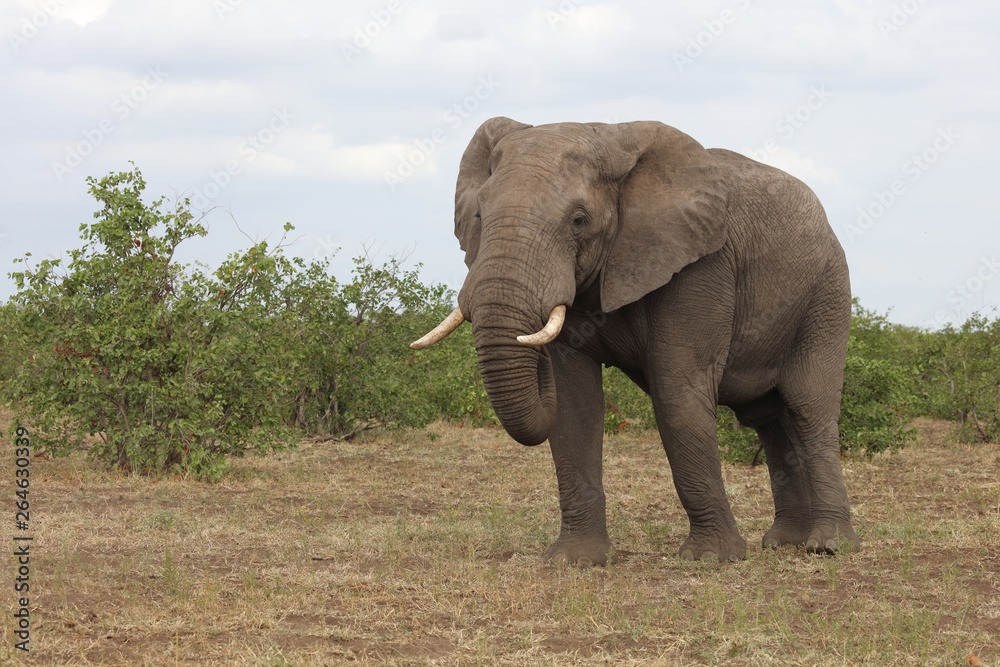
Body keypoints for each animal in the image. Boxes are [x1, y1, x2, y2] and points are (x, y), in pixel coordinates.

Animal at [411, 117, 859, 565]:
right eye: (479, 214)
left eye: (579, 220)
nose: (530, 341)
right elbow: (573, 404)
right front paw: (575, 560)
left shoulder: (702, 265)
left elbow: (677, 392)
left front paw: (710, 558)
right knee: (768, 418)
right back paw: (785, 542)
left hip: (828, 293)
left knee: (809, 405)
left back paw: (828, 546)